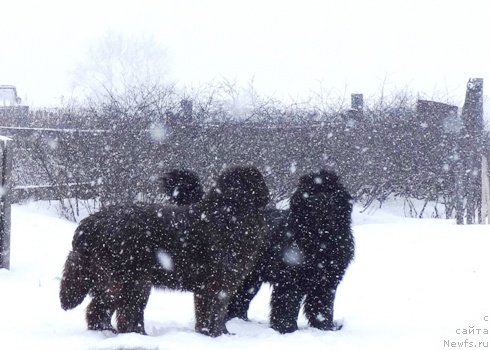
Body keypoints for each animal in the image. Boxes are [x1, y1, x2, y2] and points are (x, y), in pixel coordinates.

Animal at [60, 166, 272, 336]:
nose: (268, 195)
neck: (229, 218)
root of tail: (89, 223)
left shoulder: (223, 286)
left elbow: (217, 313)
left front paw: (222, 334)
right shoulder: (213, 283)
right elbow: (211, 312)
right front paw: (211, 335)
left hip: (117, 281)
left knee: (102, 310)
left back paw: (111, 331)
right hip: (129, 281)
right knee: (120, 312)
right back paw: (132, 334)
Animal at [228, 170, 354, 334]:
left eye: (329, 191)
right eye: (310, 191)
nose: (318, 201)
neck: (318, 240)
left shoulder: (327, 281)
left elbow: (322, 305)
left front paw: (325, 327)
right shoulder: (289, 277)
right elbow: (287, 302)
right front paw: (286, 328)